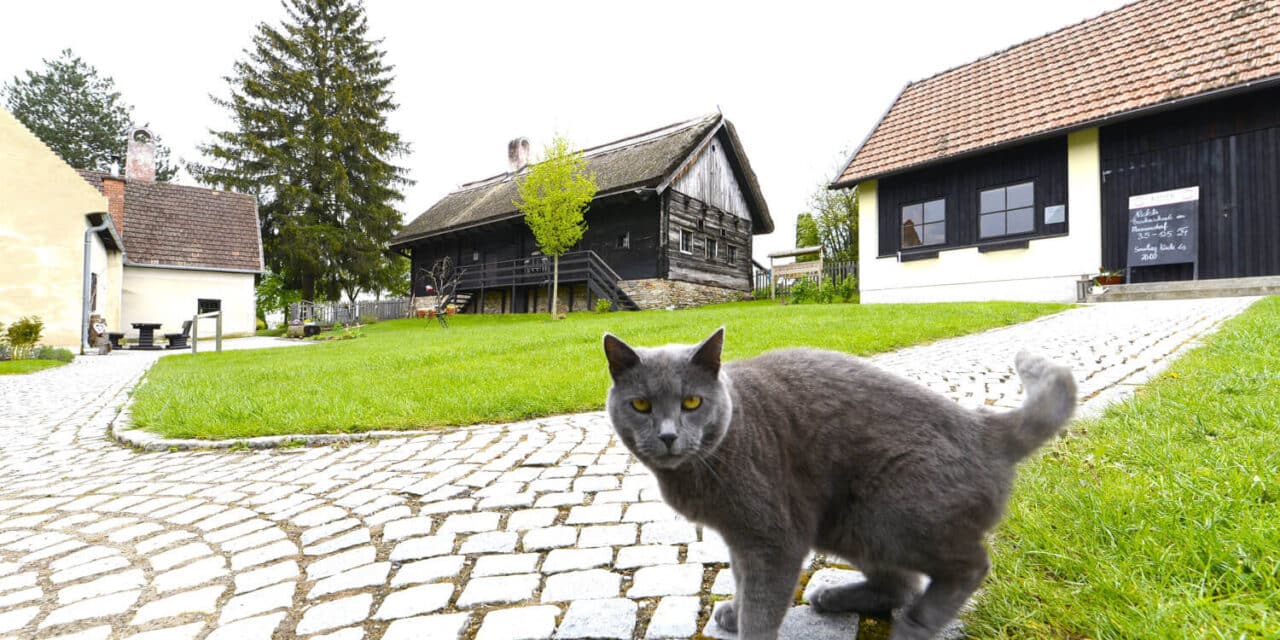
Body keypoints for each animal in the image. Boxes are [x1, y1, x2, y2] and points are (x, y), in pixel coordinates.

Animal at [604, 327, 1075, 637]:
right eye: (641, 405)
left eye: (692, 402)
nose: (668, 435)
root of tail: (983, 426)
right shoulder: (739, 537)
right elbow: (742, 579)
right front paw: (734, 614)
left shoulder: (773, 538)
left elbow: (763, 603)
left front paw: (745, 621)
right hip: (852, 526)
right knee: (899, 584)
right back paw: (832, 597)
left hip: (890, 512)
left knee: (971, 564)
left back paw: (917, 624)